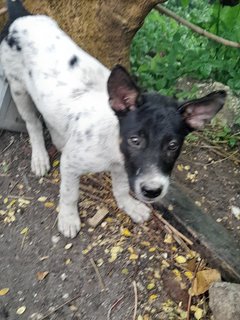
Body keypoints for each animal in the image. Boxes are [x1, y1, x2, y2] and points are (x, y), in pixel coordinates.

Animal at [0, 0, 226, 238]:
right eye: (135, 140)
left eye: (173, 145)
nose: (153, 191)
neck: (114, 145)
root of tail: (20, 16)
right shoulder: (71, 164)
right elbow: (70, 193)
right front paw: (68, 218)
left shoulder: (123, 168)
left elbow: (121, 188)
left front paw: (130, 206)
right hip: (18, 88)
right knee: (33, 123)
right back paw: (40, 157)